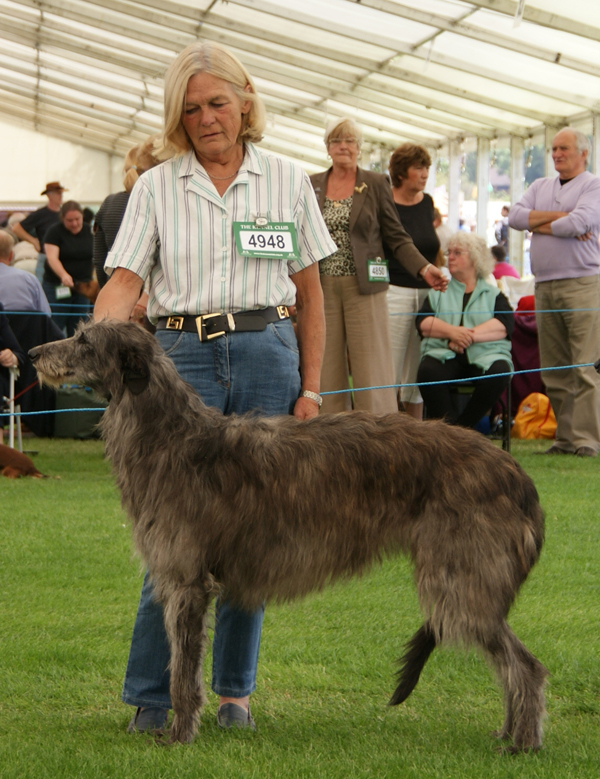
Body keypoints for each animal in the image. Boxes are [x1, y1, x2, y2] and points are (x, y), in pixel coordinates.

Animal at [29, 320, 548, 752]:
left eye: (84, 340)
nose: (33, 353)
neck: (171, 437)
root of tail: (518, 475)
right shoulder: (180, 580)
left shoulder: (187, 583)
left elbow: (182, 674)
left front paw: (178, 737)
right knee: (511, 662)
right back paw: (507, 732)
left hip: (459, 582)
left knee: (526, 666)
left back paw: (522, 743)